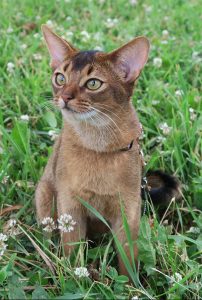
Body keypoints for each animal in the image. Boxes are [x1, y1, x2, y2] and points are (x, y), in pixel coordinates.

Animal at [35, 25, 180, 276]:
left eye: (93, 83)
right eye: (60, 78)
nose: (64, 97)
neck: (98, 148)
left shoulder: (128, 211)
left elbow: (128, 259)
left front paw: (131, 284)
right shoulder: (70, 206)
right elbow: (72, 252)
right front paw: (74, 276)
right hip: (44, 194)